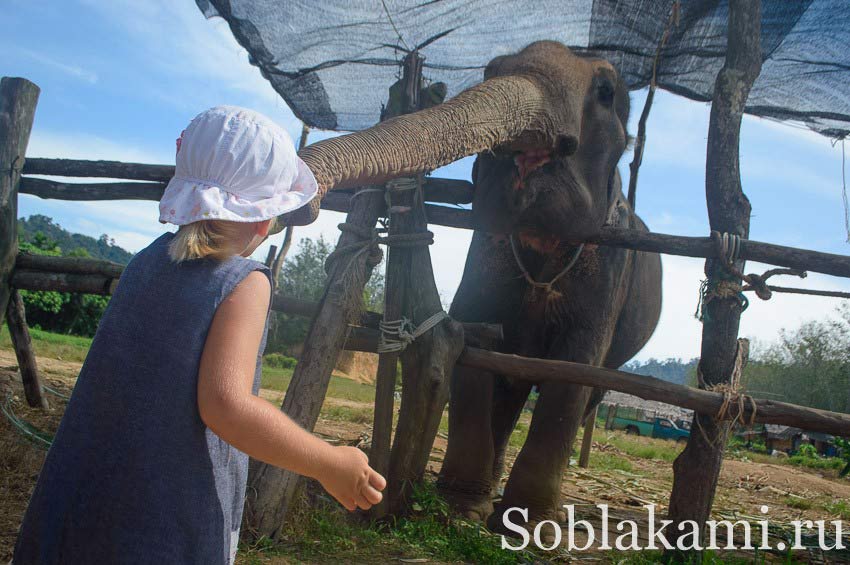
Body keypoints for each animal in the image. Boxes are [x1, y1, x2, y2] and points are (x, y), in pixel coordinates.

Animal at [284, 41, 664, 532]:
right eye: (490, 70)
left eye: (605, 90)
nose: (303, 201)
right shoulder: (486, 249)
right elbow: (475, 342)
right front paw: (462, 508)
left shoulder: (609, 264)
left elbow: (575, 366)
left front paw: (531, 526)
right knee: (512, 387)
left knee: (584, 392)